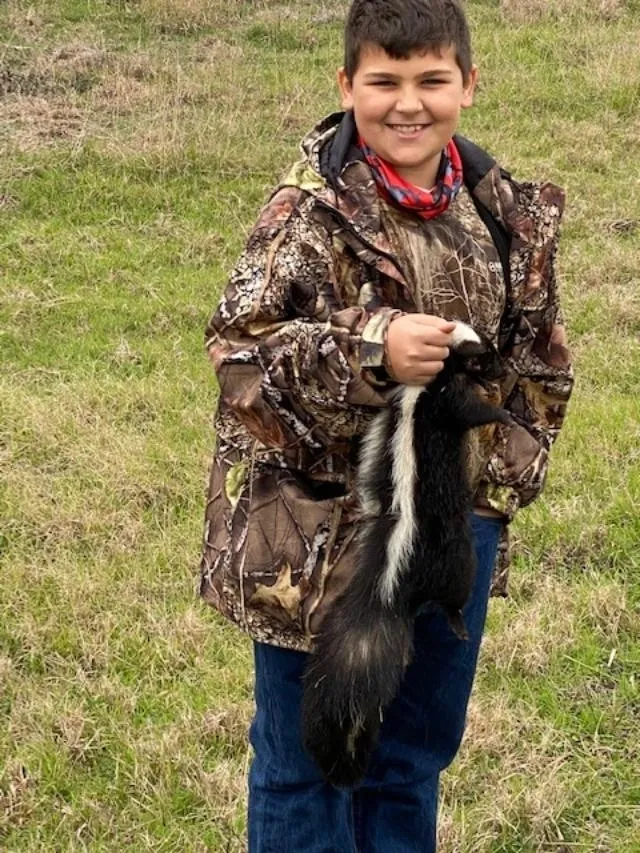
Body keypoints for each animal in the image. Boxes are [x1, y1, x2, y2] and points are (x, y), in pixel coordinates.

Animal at [300, 320, 510, 784]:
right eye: (483, 352)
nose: (499, 362)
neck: (423, 383)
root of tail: (387, 589)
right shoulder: (447, 402)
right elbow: (473, 411)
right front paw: (503, 413)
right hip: (455, 558)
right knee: (453, 594)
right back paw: (458, 623)